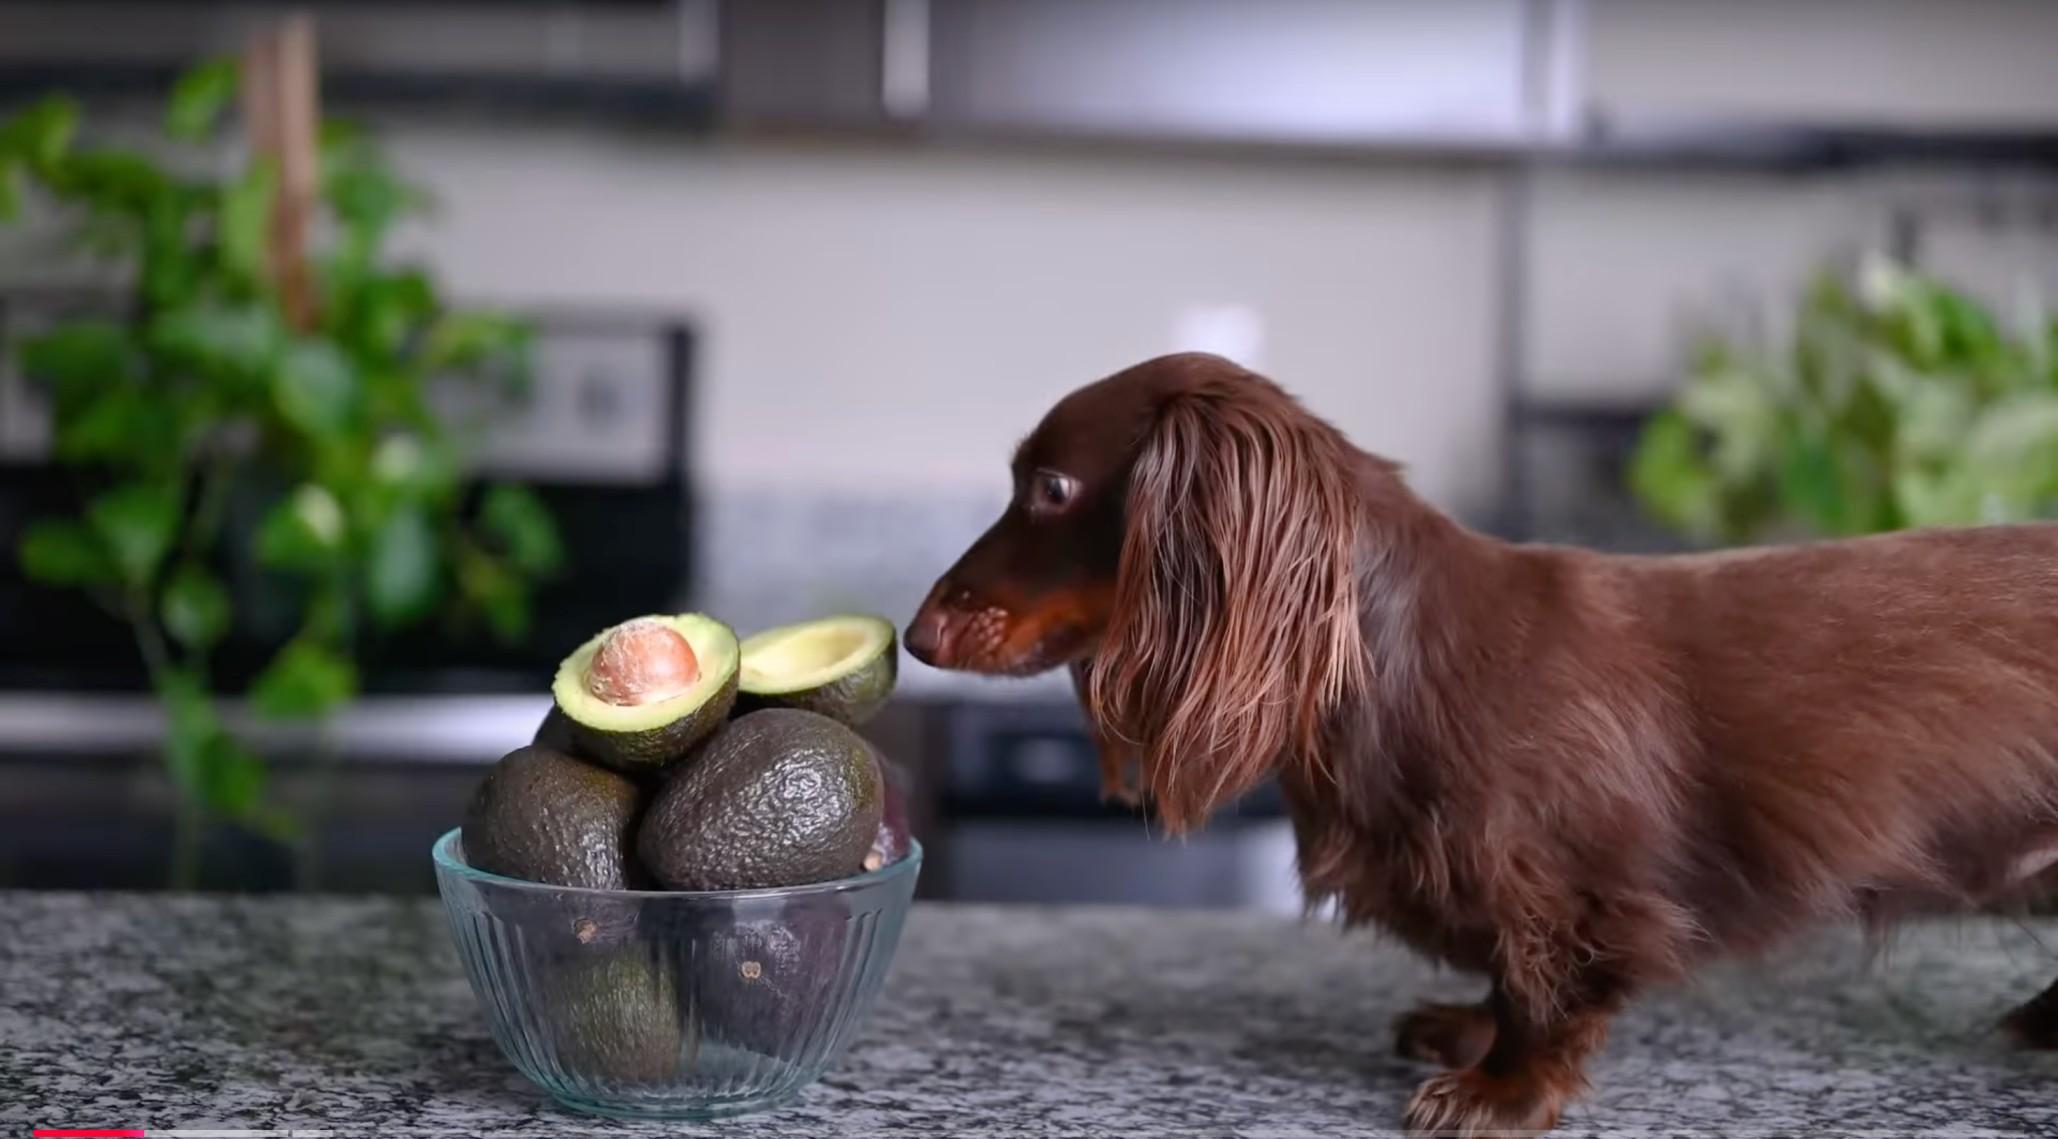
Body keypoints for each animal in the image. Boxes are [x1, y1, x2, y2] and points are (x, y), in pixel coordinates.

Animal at [909, 352, 2058, 1128]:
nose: (915, 636)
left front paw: (1501, 1085)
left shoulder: (1569, 886)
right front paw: (1472, 1026)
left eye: (1051, 487)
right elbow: (1507, 973)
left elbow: (1548, 981)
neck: (1392, 660)